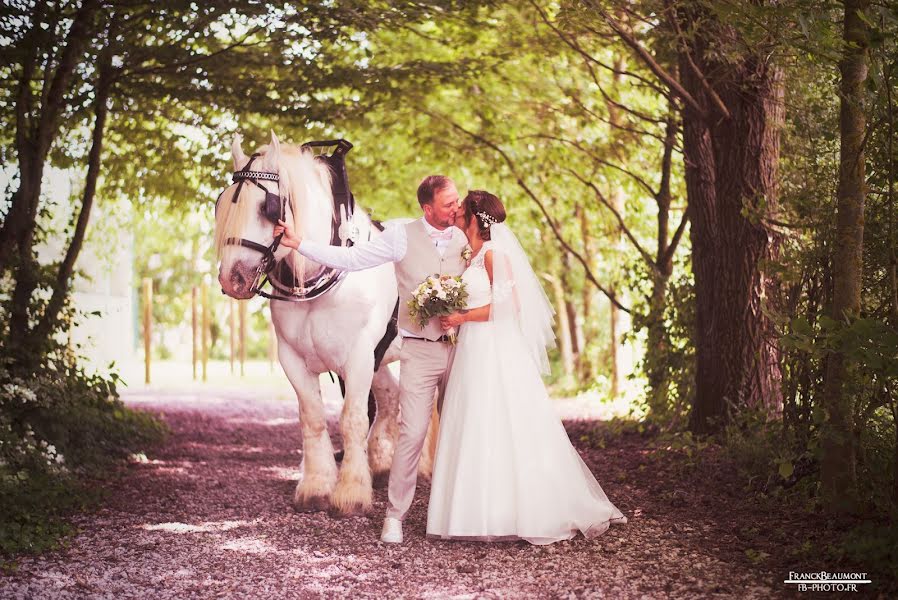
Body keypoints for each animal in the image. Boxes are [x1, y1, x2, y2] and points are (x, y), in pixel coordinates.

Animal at [219, 131, 436, 516]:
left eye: (267, 207)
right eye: (225, 204)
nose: (232, 278)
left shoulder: (359, 357)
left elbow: (352, 419)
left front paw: (351, 492)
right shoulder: (293, 359)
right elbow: (314, 416)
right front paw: (317, 486)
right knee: (391, 398)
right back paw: (381, 463)